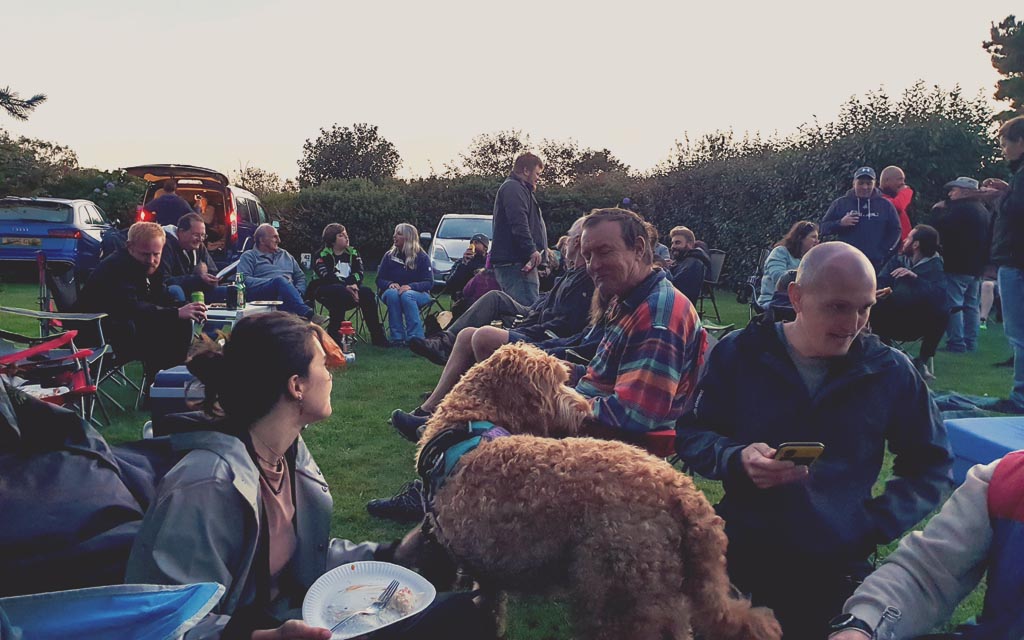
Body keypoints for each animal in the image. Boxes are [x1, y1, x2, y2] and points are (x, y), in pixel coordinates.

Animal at [403, 344, 778, 638]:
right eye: (553, 384)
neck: (466, 422)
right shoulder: (487, 571)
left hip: (617, 596)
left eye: (563, 380)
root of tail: (684, 493)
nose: (584, 412)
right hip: (661, 597)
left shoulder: (480, 569)